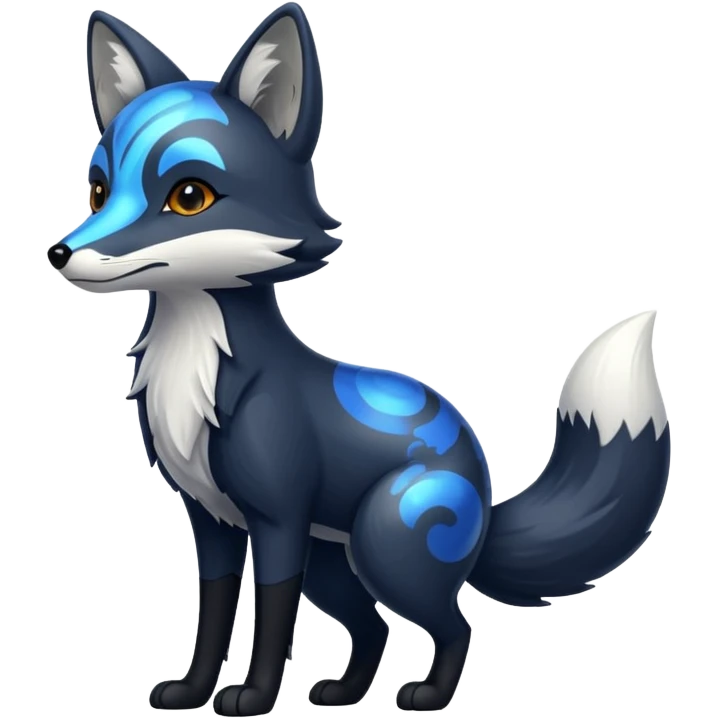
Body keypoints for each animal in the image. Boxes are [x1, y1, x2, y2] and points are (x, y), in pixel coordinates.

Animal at [47, 5, 672, 716]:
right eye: (98, 191)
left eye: (189, 196)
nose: (61, 254)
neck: (198, 368)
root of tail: (485, 497)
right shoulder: (212, 521)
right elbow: (213, 614)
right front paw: (192, 691)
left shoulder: (279, 521)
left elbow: (271, 615)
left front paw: (253, 697)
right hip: (335, 567)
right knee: (374, 627)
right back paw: (344, 692)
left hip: (390, 541)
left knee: (455, 624)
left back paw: (427, 695)